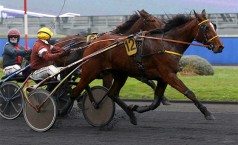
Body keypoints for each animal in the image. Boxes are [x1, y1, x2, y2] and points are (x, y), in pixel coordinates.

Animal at [69, 9, 224, 125]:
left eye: (214, 26)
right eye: (206, 28)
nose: (220, 46)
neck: (166, 44)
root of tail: (92, 44)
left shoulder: (162, 78)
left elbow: (155, 102)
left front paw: (137, 107)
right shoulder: (168, 75)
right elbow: (189, 92)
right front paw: (207, 113)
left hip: (120, 74)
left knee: (112, 94)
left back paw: (131, 115)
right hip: (91, 71)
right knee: (75, 92)